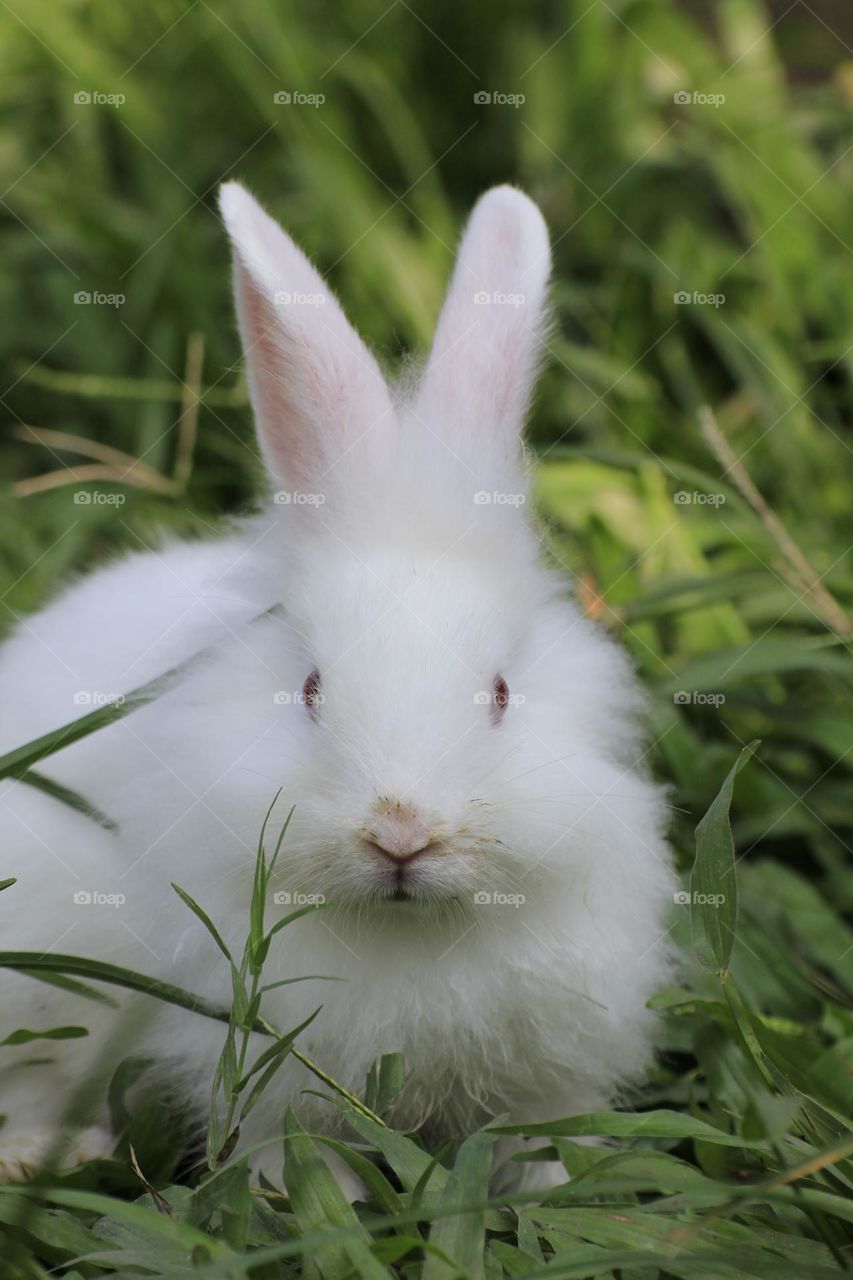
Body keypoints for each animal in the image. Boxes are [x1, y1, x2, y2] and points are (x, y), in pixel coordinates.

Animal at [0, 182, 676, 1192]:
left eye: (500, 693)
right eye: (310, 689)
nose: (400, 832)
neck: (409, 931)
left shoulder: (551, 1076)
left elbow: (545, 1149)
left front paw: (569, 1193)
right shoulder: (276, 1088)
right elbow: (298, 1166)